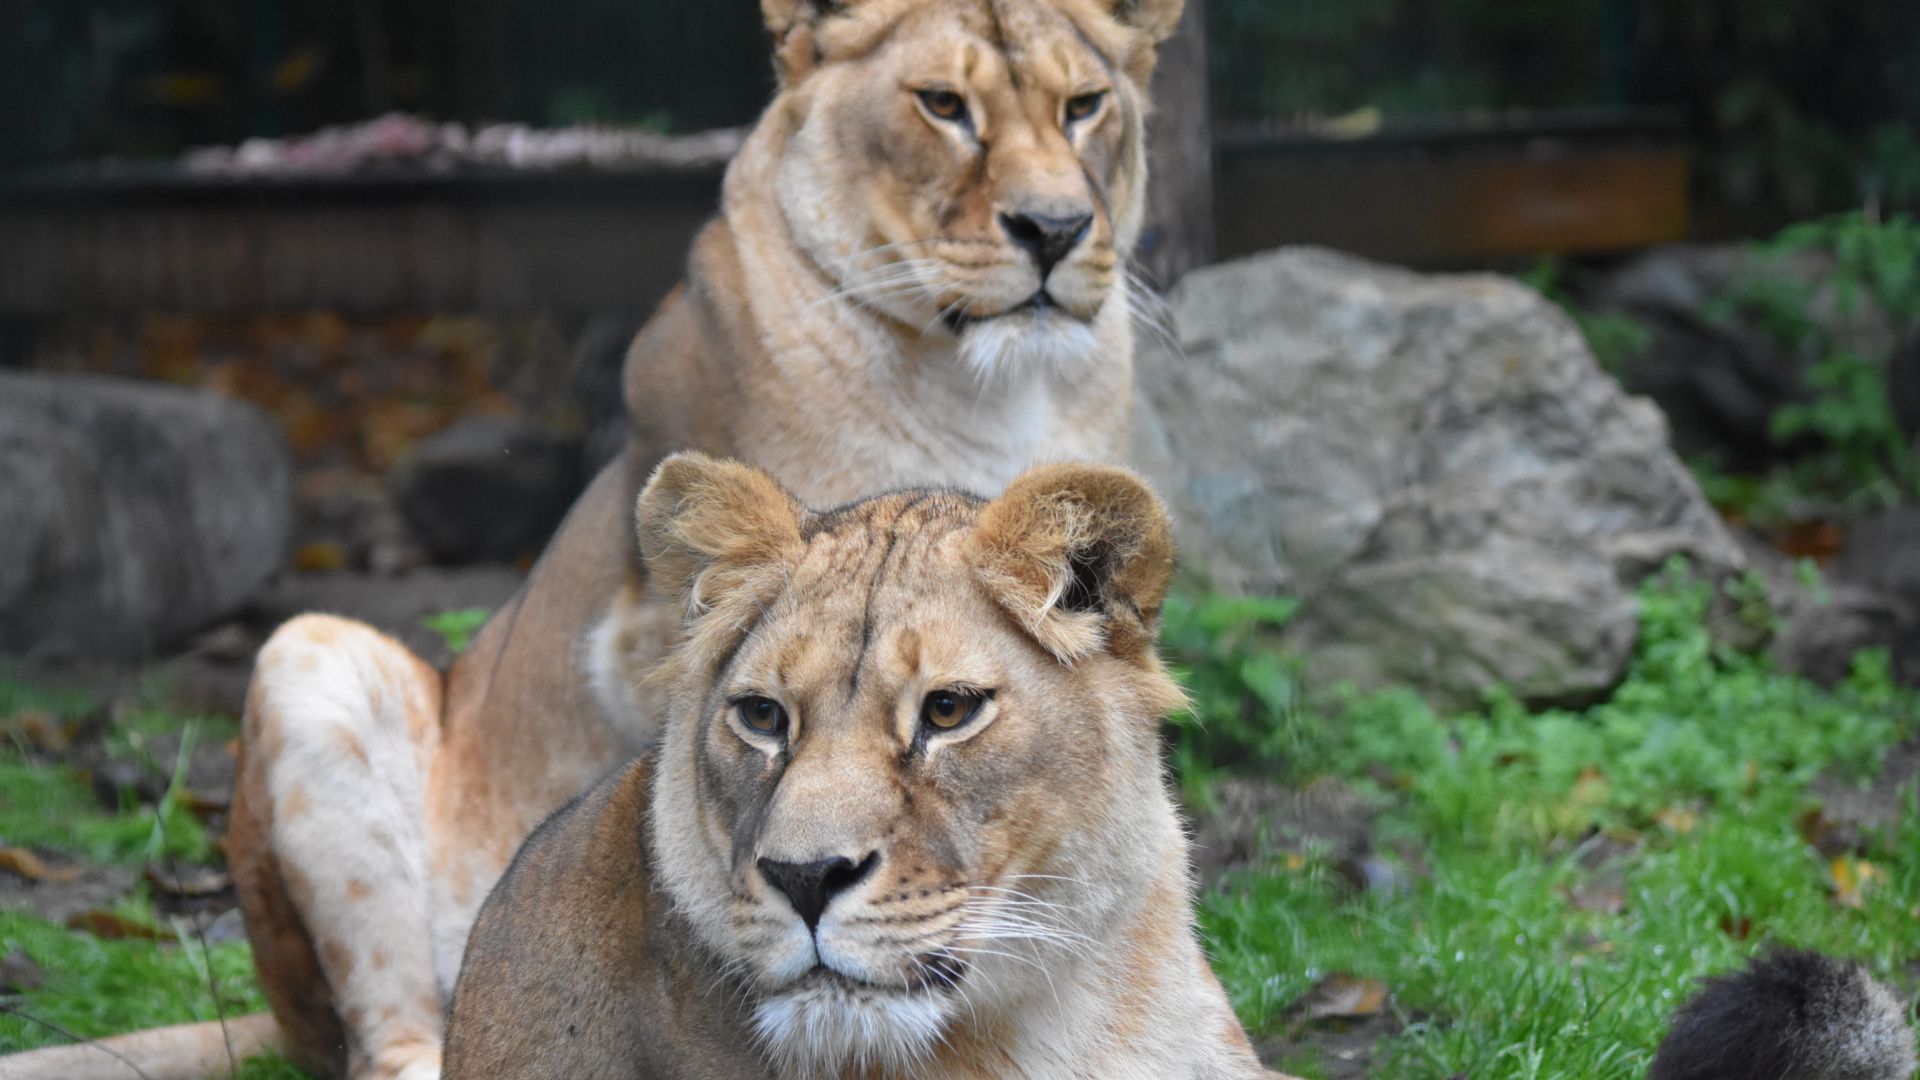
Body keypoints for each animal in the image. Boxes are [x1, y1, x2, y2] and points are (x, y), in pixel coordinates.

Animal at [0, 3, 1183, 1079]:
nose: (1053, 230)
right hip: (313, 663)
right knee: (388, 1039)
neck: (1000, 392)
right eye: (943, 106)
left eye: (1086, 108)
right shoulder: (657, 627)